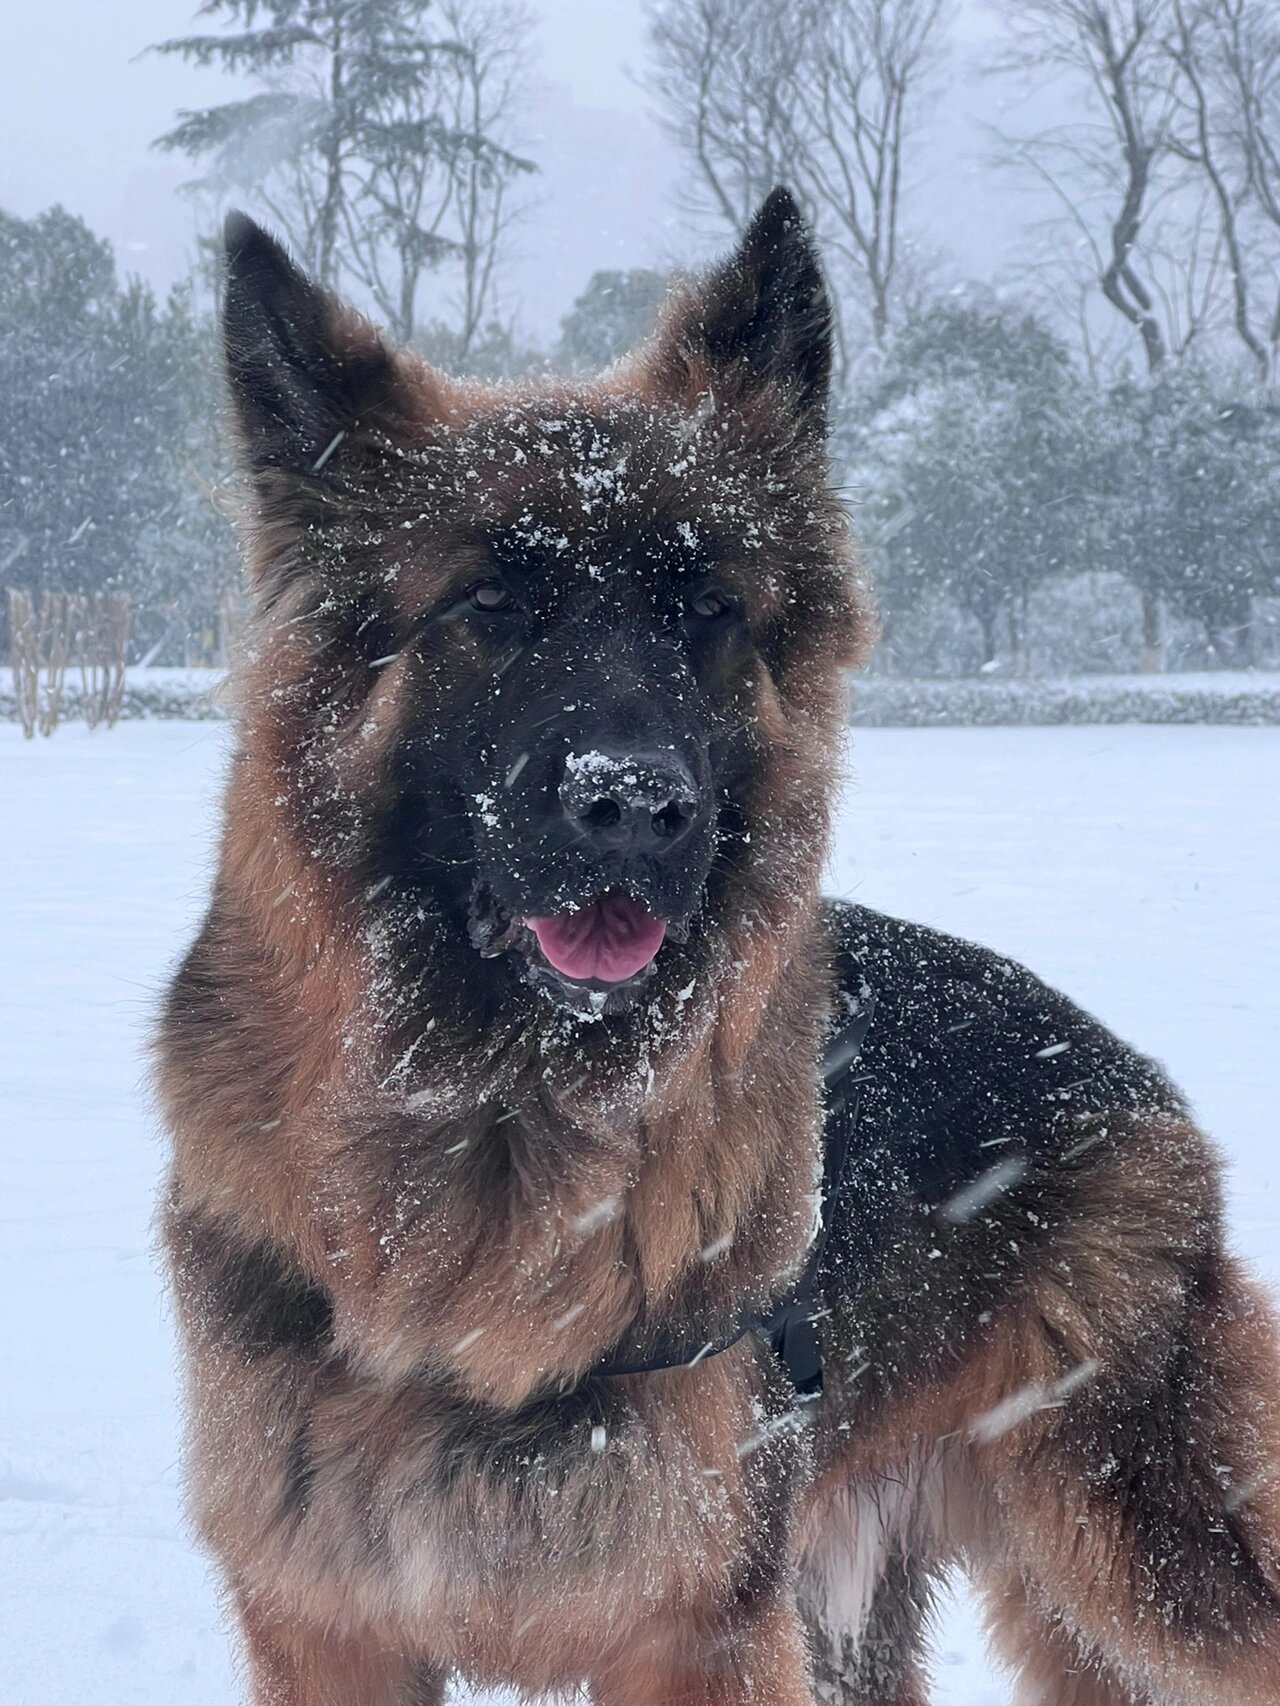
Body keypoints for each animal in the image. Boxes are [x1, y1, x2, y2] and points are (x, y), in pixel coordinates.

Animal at [152, 193, 1280, 1699]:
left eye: (701, 609)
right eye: (491, 605)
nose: (635, 803)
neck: (501, 1138)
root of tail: (1135, 1080)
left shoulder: (696, 1625)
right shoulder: (330, 1621)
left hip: (1138, 1555)